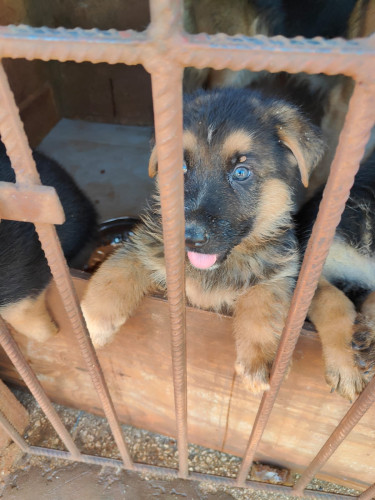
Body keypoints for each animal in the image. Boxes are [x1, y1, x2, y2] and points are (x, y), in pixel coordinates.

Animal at [83, 89, 326, 394]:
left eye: (241, 172)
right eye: (181, 167)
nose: (189, 237)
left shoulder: (279, 272)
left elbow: (265, 301)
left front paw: (262, 360)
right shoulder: (149, 244)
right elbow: (119, 267)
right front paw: (94, 321)